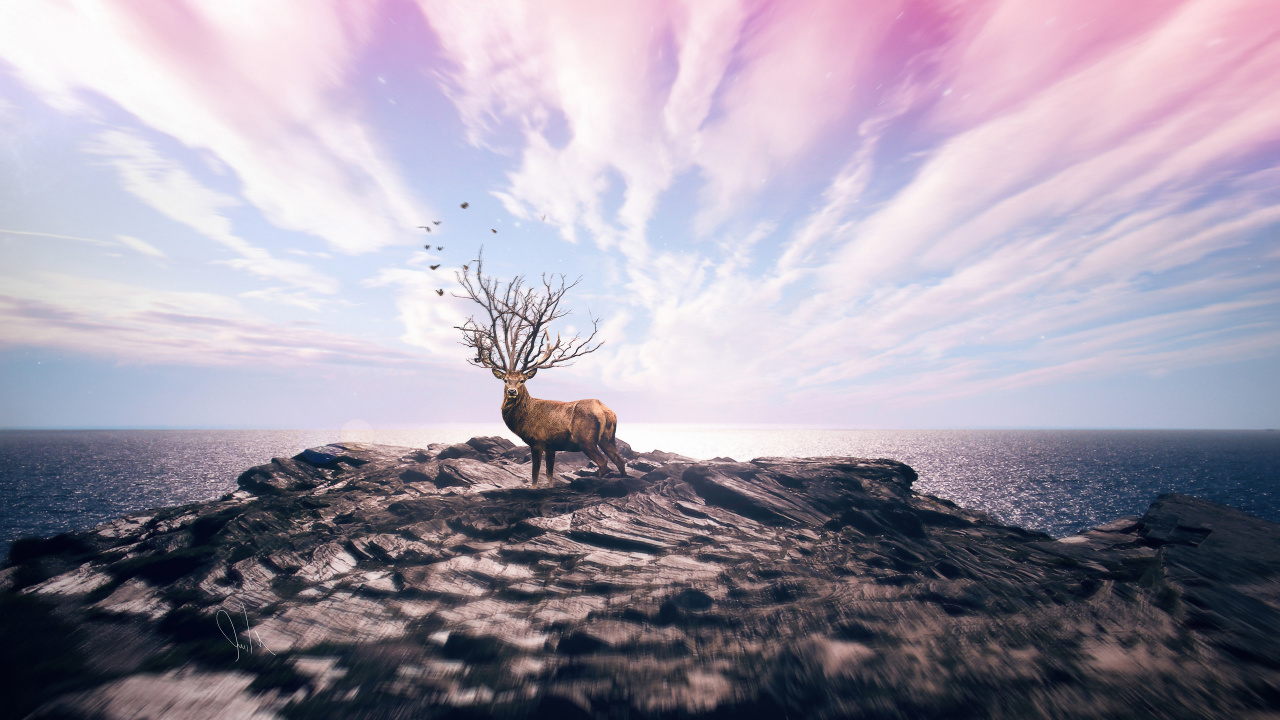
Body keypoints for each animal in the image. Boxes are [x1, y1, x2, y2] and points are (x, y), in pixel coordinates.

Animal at [454, 253, 626, 487]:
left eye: (522, 380)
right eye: (505, 379)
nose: (512, 391)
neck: (525, 417)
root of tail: (606, 410)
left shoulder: (537, 440)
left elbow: (535, 476)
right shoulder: (552, 446)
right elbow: (549, 475)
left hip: (587, 439)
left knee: (603, 462)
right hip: (609, 437)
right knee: (621, 461)